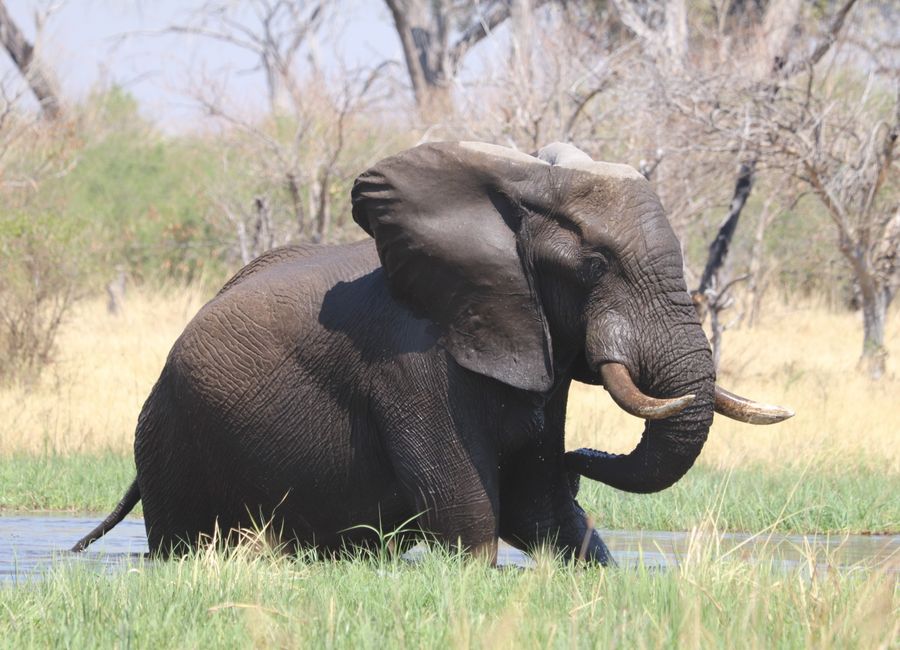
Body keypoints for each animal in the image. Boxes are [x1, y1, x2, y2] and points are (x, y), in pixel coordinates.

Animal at [72, 141, 792, 565]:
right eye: (595, 265)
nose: (580, 459)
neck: (523, 184)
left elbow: (544, 513)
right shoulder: (411, 369)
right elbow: (468, 519)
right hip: (172, 437)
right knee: (184, 540)